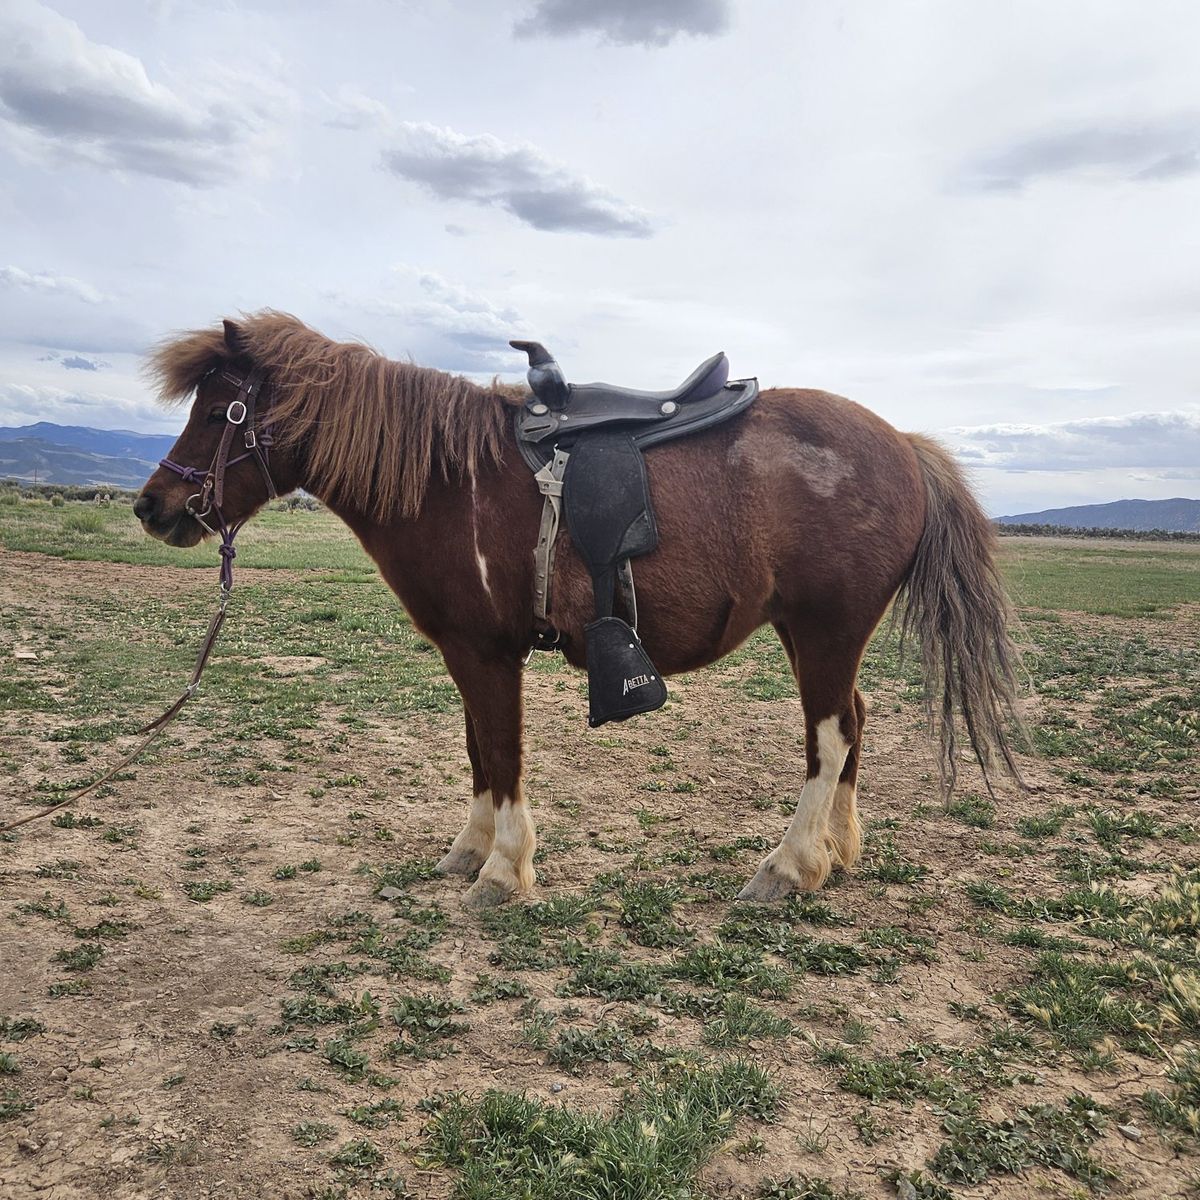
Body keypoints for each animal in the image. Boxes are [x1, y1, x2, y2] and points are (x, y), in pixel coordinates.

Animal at [135, 311, 1024, 907]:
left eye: (221, 412)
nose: (154, 507)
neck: (449, 481)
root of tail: (905, 445)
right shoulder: (469, 653)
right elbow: (478, 752)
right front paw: (469, 850)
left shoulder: (487, 653)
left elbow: (502, 752)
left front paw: (502, 871)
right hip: (809, 633)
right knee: (854, 725)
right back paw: (837, 853)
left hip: (828, 628)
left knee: (829, 736)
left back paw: (790, 865)